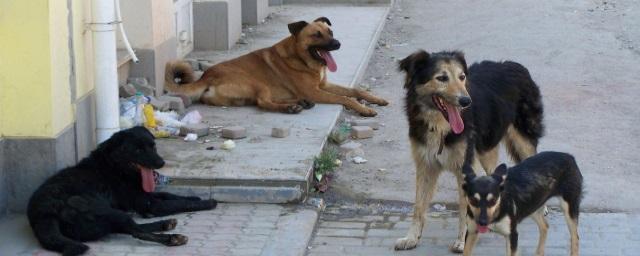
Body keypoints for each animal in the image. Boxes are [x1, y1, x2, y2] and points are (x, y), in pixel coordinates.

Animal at [26, 127, 218, 255]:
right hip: (105, 210)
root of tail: (44, 213)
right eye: (138, 149)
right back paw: (172, 237)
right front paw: (207, 202)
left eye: (153, 146)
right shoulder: (149, 203)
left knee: (128, 228)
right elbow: (178, 203)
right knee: (136, 231)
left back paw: (165, 224)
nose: (161, 163)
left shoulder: (143, 195)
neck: (115, 166)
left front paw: (195, 197)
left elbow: (170, 195)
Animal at [165, 17, 388, 117]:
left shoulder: (322, 86)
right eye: (316, 35)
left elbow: (355, 90)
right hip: (256, 83)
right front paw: (364, 109)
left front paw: (375, 99)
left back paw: (299, 103)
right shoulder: (316, 91)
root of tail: (206, 76)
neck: (300, 58)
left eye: (330, 32)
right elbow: (346, 98)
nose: (338, 44)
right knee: (262, 102)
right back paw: (290, 107)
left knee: (263, 101)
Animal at [396, 50, 544, 252]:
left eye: (462, 77)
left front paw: (462, 241)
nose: (466, 101)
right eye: (442, 78)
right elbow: (418, 206)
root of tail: (515, 65)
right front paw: (411, 237)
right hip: (486, 149)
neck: (440, 126)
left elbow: (464, 209)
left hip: (523, 140)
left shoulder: (465, 167)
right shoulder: (425, 165)